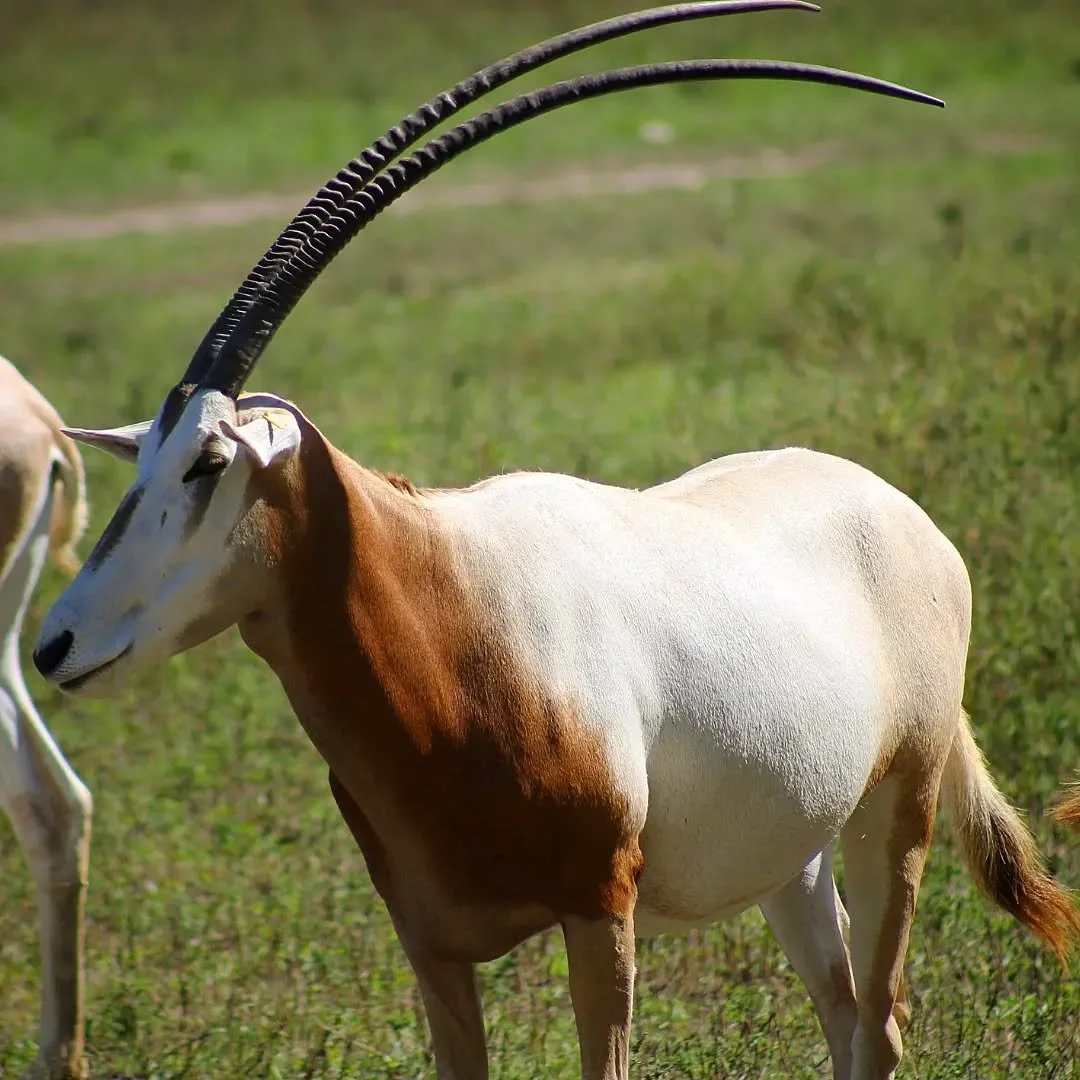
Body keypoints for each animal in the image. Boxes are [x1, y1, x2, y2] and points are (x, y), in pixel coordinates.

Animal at [30, 4, 1080, 1078]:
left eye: (205, 462)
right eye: (143, 459)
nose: (54, 645)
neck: (449, 606)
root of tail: (906, 516)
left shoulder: (599, 911)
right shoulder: (432, 944)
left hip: (895, 816)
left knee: (878, 1017)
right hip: (794, 853)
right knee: (846, 1011)